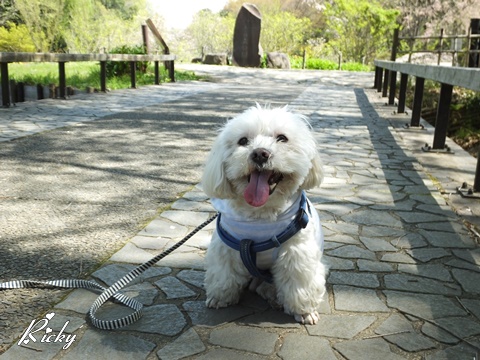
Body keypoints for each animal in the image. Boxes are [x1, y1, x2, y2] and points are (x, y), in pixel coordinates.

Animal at [201, 105, 328, 326]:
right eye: (243, 141)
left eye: (282, 138)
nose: (260, 153)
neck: (260, 216)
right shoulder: (226, 246)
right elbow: (223, 274)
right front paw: (219, 297)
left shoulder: (296, 252)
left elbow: (299, 283)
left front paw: (304, 312)